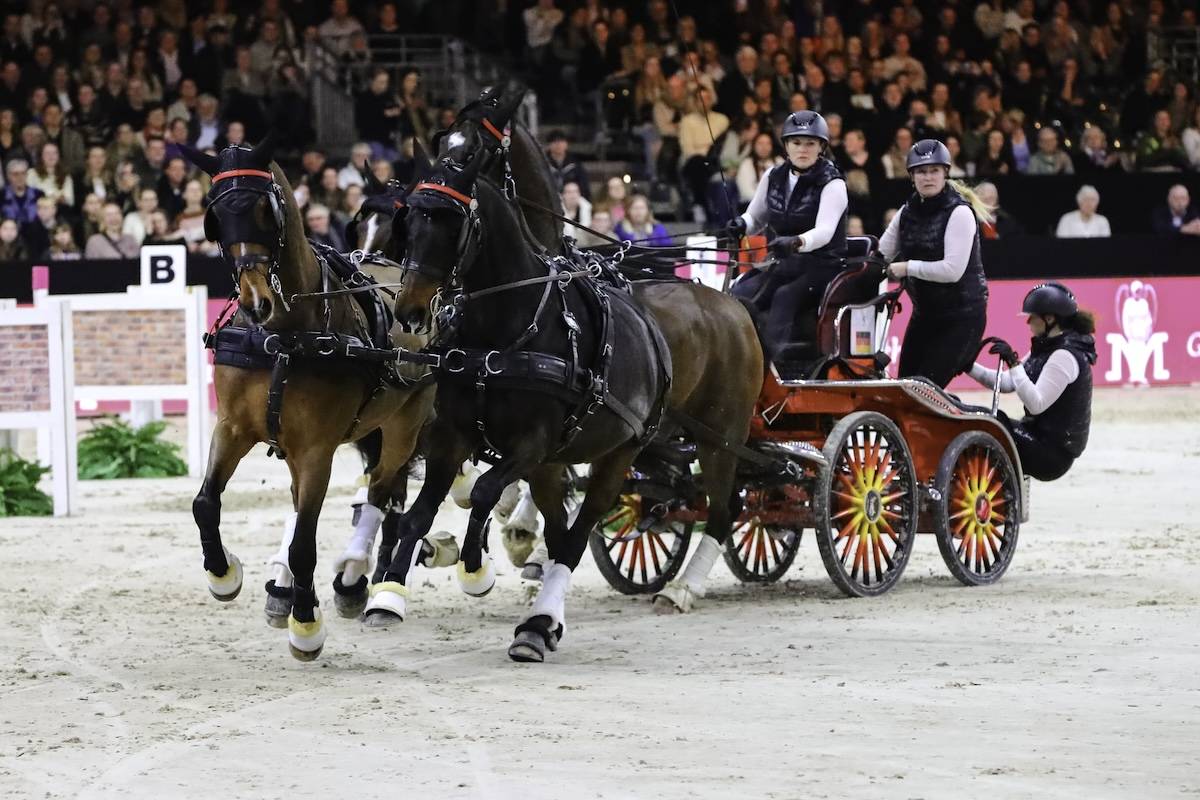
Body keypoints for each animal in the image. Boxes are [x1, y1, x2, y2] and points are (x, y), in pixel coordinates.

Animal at [182, 136, 440, 661]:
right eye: (214, 214)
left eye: (266, 209)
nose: (256, 300)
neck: (283, 337)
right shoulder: (233, 429)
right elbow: (206, 503)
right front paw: (224, 575)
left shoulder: (317, 449)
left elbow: (305, 542)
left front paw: (306, 624)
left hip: (403, 426)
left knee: (381, 492)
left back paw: (360, 580)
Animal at [374, 148, 765, 662]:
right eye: (411, 221)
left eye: (451, 222)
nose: (409, 312)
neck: (503, 332)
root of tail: (730, 306)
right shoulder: (453, 437)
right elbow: (419, 513)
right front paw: (389, 595)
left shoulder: (532, 444)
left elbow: (483, 493)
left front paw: (474, 565)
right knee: (565, 534)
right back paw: (545, 615)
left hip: (691, 443)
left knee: (708, 513)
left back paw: (658, 594)